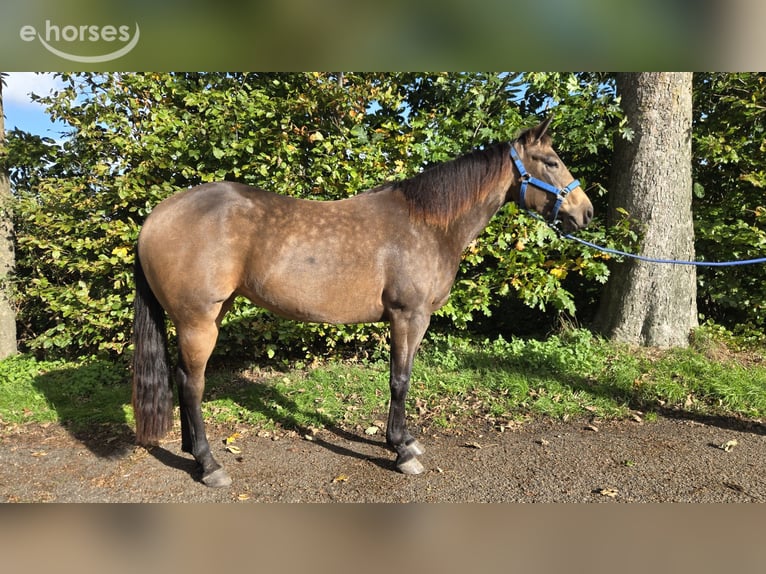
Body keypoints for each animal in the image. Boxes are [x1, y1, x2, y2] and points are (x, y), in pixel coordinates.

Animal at [131, 117, 593, 487]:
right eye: (551, 162)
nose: (585, 212)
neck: (427, 224)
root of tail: (156, 217)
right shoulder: (408, 317)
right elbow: (400, 380)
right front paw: (401, 452)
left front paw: (407, 441)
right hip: (197, 321)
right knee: (193, 384)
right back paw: (209, 465)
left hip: (209, 315)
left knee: (182, 377)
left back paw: (191, 451)